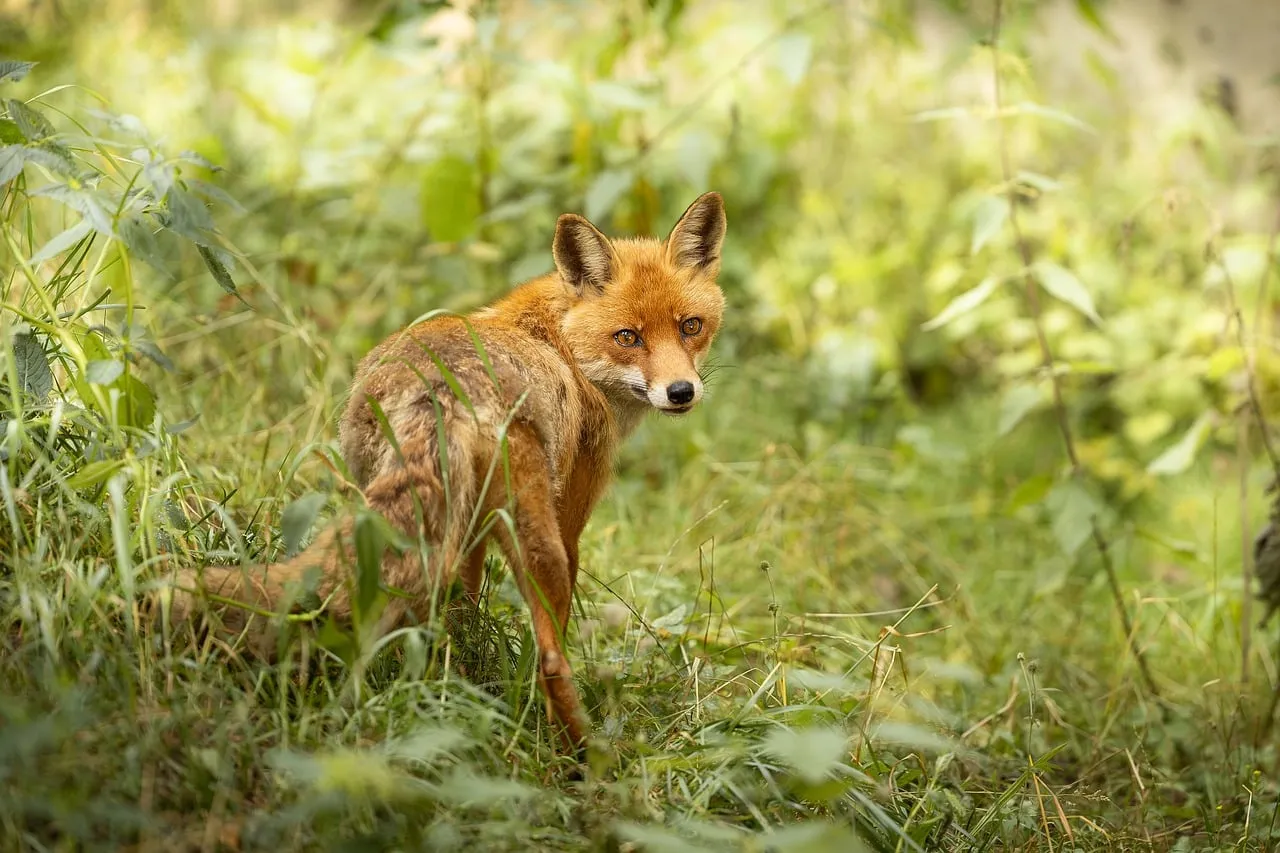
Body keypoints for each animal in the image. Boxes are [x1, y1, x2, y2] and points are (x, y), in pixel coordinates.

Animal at [165, 191, 728, 756]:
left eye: (690, 326)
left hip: (412, 527)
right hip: (533, 541)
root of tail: (436, 387)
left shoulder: (471, 529)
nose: (681, 392)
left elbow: (467, 608)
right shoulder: (569, 521)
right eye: (627, 337)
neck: (561, 345)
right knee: (549, 661)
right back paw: (578, 754)